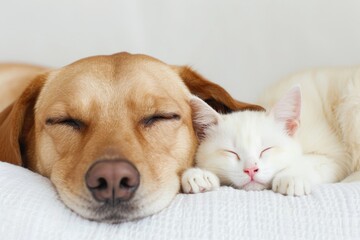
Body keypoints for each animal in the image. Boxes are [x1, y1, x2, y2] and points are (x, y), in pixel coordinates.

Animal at [184, 87, 338, 196]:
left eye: (266, 149)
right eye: (231, 152)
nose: (251, 169)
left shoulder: (333, 156)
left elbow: (311, 160)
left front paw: (292, 176)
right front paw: (199, 175)